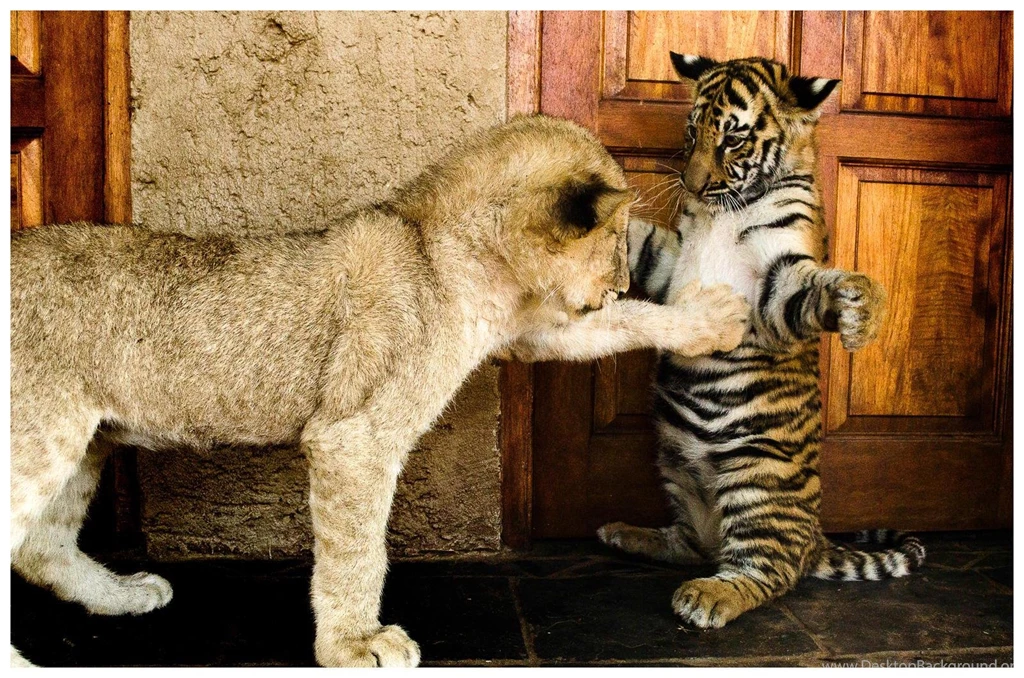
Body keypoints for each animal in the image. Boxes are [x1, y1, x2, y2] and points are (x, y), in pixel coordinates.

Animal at [597, 53, 925, 629]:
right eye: (692, 132)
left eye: (732, 139)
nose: (690, 185)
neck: (725, 210)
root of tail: (816, 540)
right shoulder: (671, 259)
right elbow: (643, 241)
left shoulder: (776, 287)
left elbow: (808, 295)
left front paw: (861, 311)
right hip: (674, 467)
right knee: (693, 545)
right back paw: (624, 533)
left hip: (757, 477)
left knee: (766, 570)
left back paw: (708, 597)